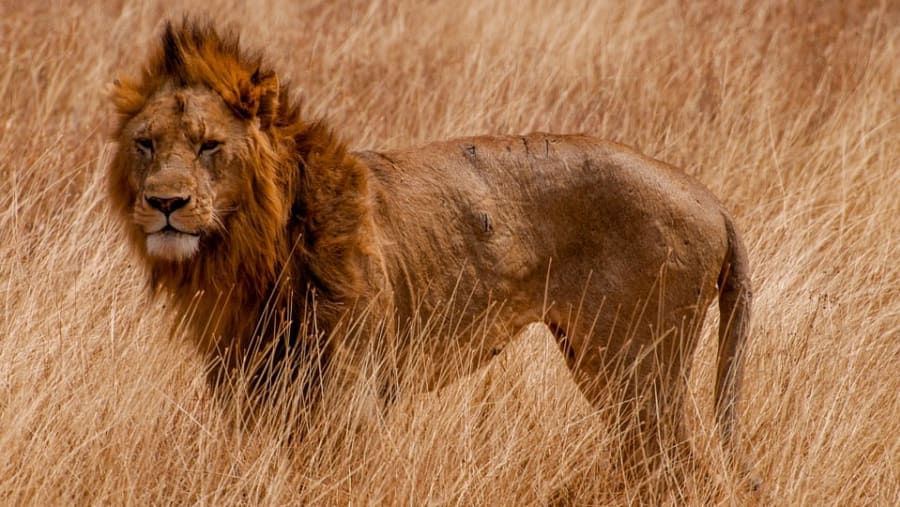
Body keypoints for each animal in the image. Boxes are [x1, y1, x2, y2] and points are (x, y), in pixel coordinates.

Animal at [108, 20, 752, 478]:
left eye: (209, 145)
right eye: (146, 143)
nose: (165, 202)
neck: (246, 255)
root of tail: (712, 201)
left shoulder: (349, 395)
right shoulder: (248, 386)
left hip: (636, 372)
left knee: (677, 471)